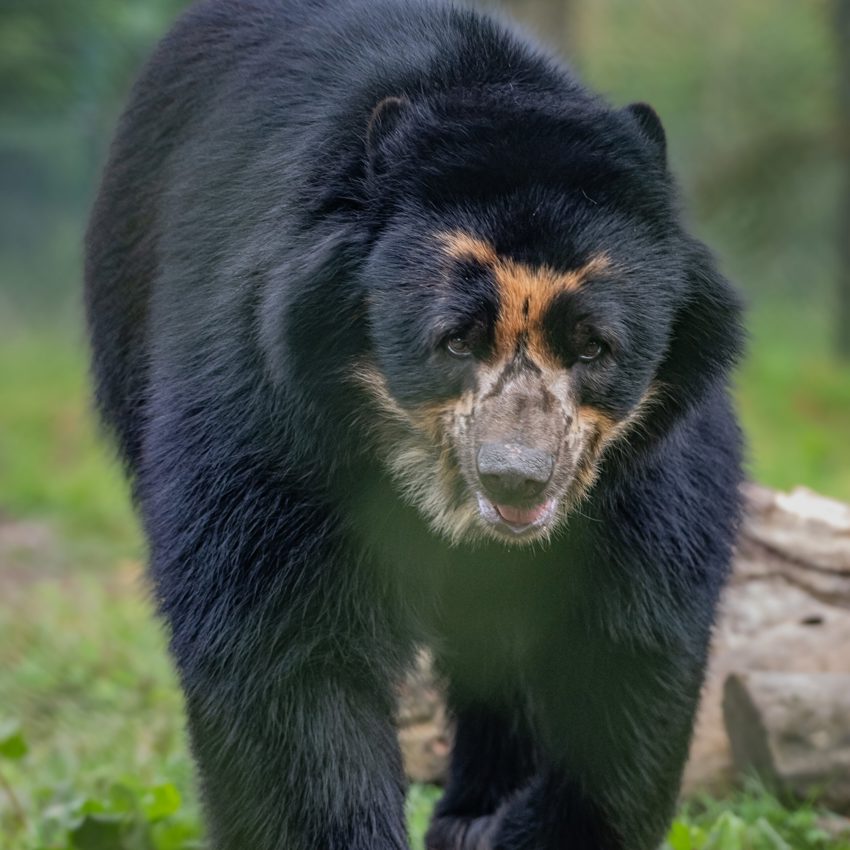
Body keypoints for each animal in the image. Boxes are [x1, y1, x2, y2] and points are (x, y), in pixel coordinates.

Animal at [85, 0, 744, 848]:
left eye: (594, 346)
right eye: (455, 340)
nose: (516, 478)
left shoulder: (643, 462)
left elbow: (631, 637)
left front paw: (513, 827)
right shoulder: (269, 412)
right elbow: (282, 651)